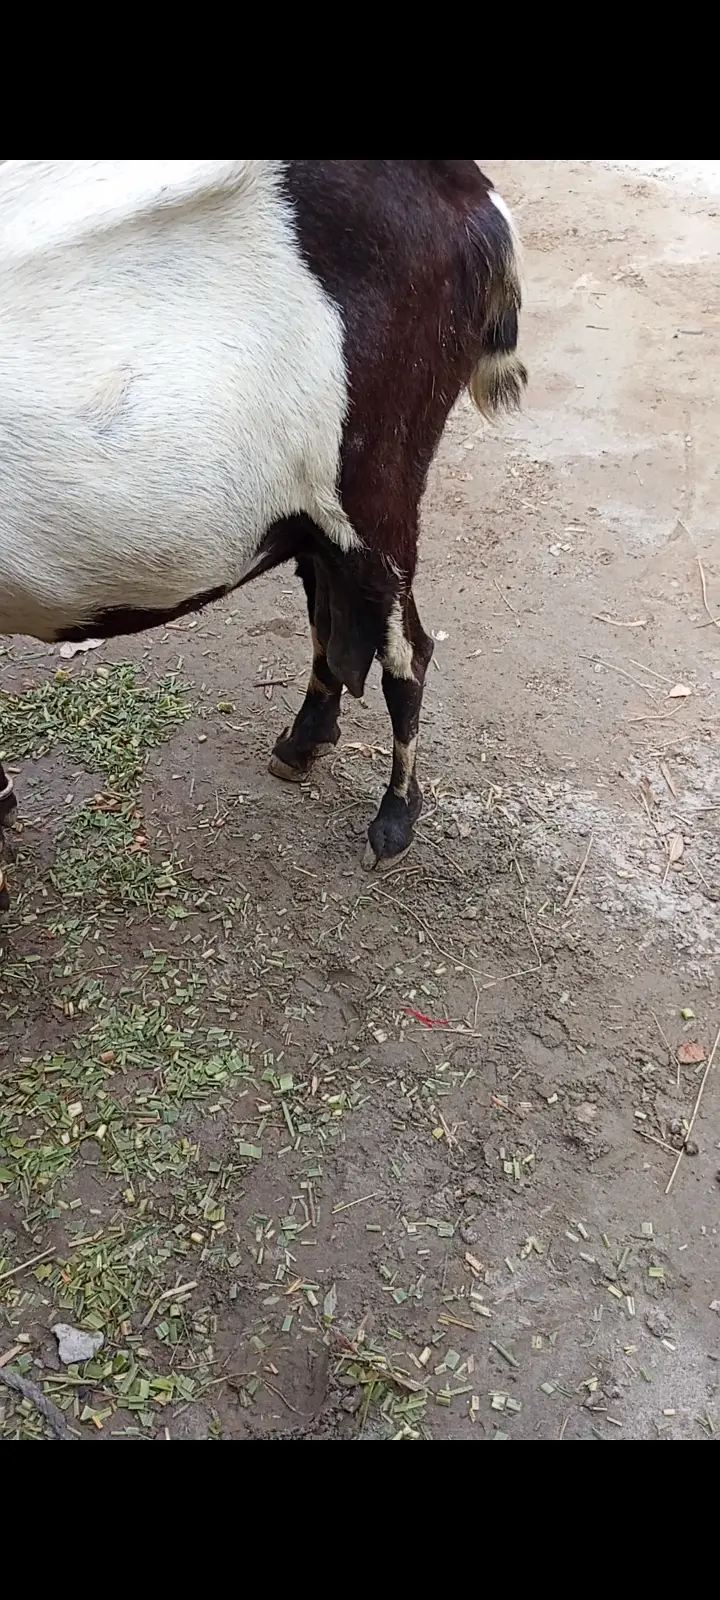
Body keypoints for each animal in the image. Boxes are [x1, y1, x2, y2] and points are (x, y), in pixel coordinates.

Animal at [0, 159, 526, 906]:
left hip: (376, 485)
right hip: (308, 509)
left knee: (406, 651)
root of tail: (464, 189)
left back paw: (393, 820)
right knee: (328, 614)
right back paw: (302, 743)